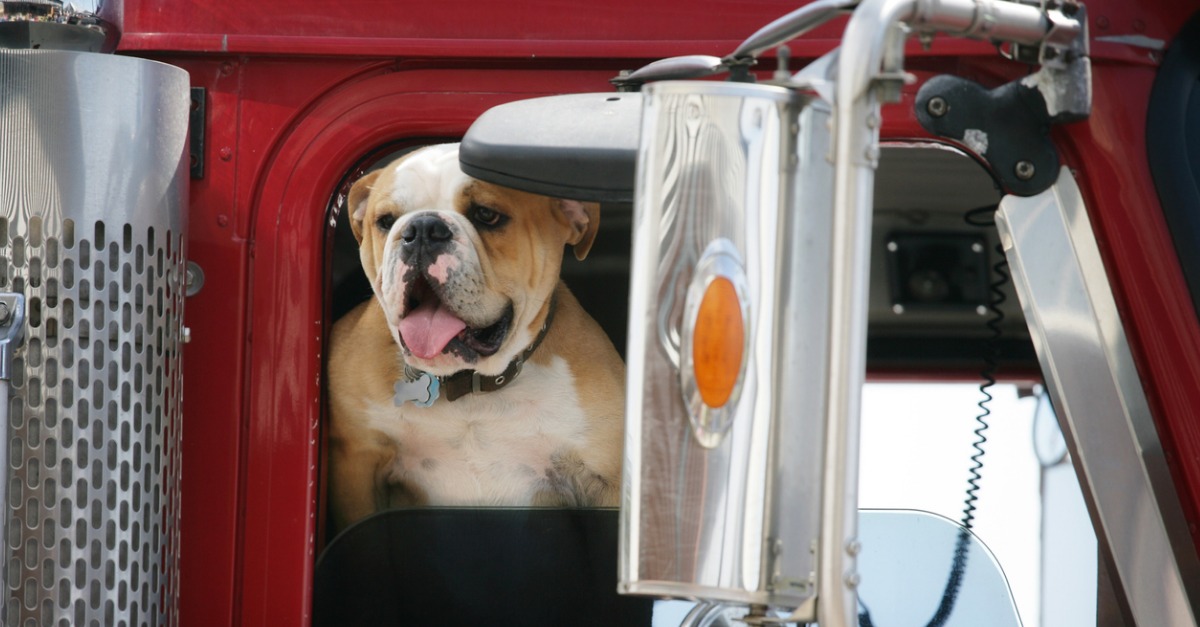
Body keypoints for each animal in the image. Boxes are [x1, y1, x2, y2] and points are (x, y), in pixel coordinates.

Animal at [331, 142, 628, 530]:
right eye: (385, 220)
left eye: (487, 215)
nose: (422, 229)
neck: (471, 388)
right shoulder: (358, 462)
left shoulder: (605, 478)